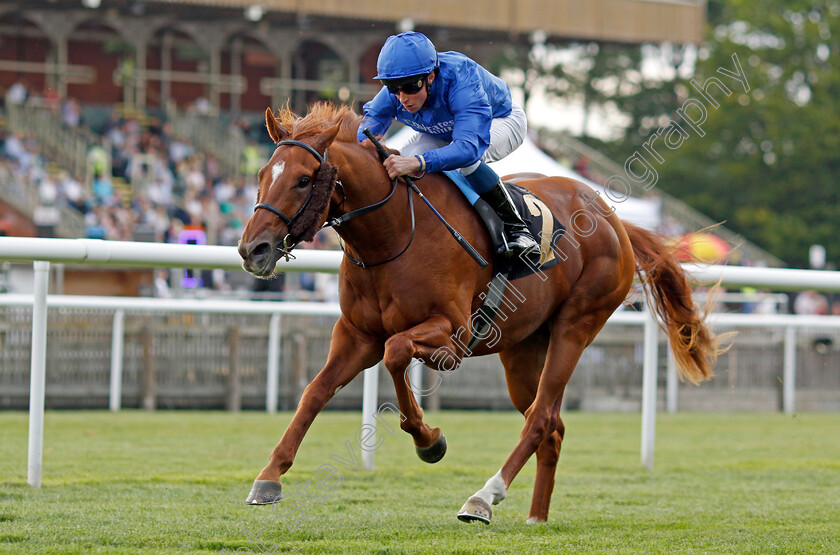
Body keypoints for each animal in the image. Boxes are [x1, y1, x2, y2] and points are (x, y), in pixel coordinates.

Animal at [238, 104, 720, 524]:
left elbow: (396, 353)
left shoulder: (451, 334)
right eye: (261, 175)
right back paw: (536, 517)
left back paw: (483, 498)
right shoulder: (356, 334)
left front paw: (429, 440)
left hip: (576, 326)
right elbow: (314, 392)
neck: (392, 235)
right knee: (551, 425)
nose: (252, 249)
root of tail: (614, 220)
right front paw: (269, 477)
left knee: (540, 418)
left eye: (303, 180)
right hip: (523, 347)